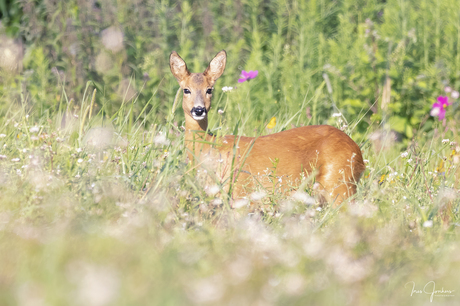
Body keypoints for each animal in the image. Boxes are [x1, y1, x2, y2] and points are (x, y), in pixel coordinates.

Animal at [170, 49, 366, 206]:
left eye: (209, 89)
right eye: (186, 89)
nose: (198, 110)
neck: (210, 149)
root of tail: (359, 155)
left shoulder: (242, 194)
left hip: (340, 183)